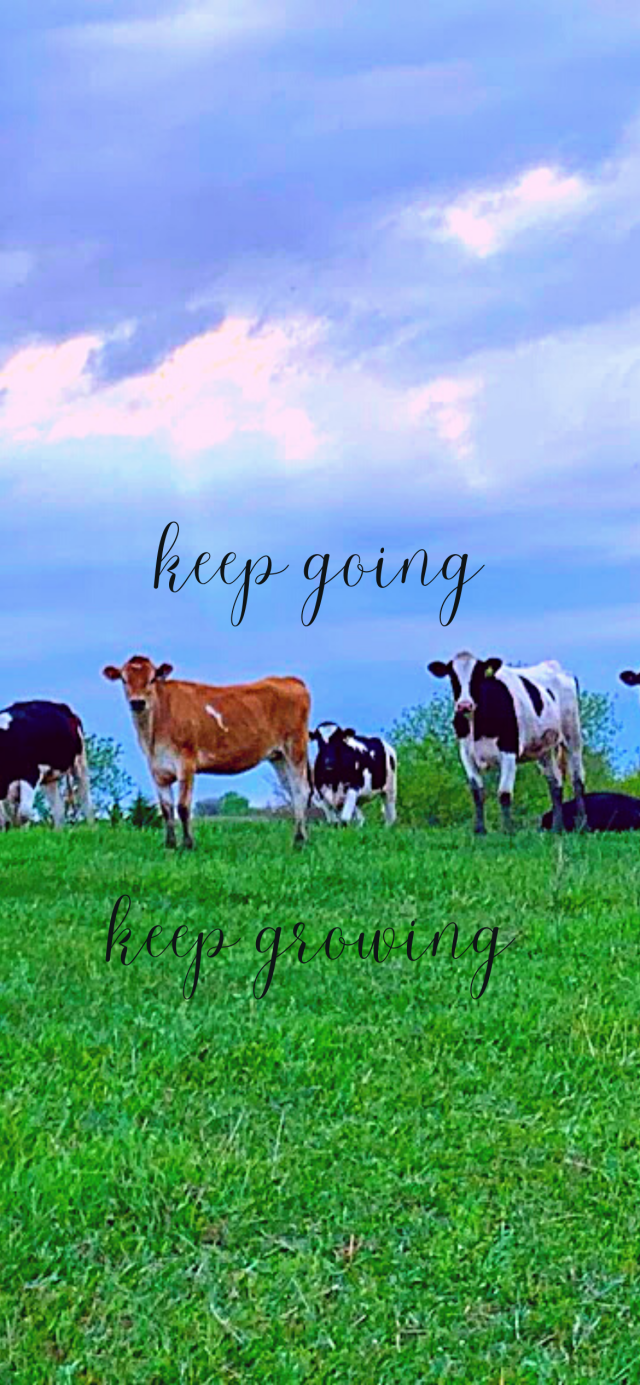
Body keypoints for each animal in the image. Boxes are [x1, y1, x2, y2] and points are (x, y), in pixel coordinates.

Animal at [0, 700, 94, 830]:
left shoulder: (30, 773)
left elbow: (23, 814)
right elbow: (6, 818)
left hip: (80, 762)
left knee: (85, 798)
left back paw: (92, 828)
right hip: (49, 778)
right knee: (59, 808)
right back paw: (59, 831)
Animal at [102, 655, 311, 849]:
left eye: (152, 678)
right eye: (124, 679)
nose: (138, 702)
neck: (153, 734)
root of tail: (289, 680)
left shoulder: (186, 762)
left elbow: (183, 806)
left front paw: (188, 845)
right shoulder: (157, 770)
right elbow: (166, 809)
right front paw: (170, 845)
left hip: (295, 747)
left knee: (301, 789)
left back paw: (300, 841)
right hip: (278, 756)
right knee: (292, 791)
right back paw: (299, 838)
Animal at [427, 652, 586, 834]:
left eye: (477, 675)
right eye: (453, 676)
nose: (465, 705)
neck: (477, 726)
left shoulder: (509, 751)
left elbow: (504, 793)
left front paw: (507, 831)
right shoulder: (466, 753)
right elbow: (477, 792)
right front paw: (480, 831)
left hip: (572, 735)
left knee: (577, 778)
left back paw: (583, 824)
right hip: (544, 748)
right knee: (555, 783)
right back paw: (556, 828)